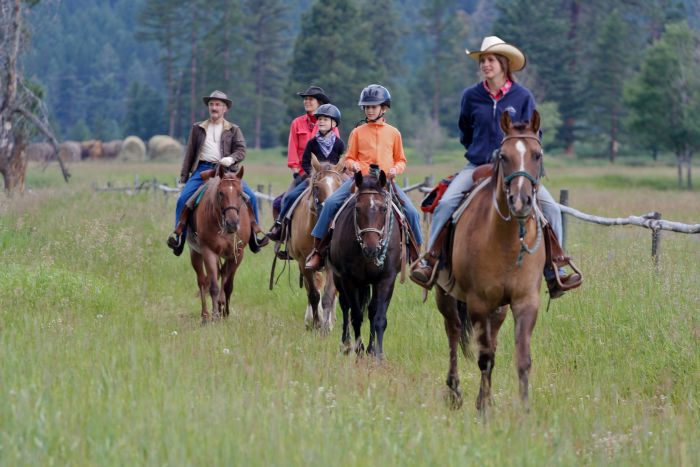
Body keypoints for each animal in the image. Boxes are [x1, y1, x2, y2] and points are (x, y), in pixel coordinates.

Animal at [187, 159, 250, 324]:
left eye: (240, 194)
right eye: (221, 193)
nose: (232, 223)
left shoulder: (237, 254)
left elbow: (228, 286)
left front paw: (225, 312)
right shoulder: (209, 252)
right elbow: (213, 286)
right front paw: (215, 315)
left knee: (221, 275)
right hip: (195, 253)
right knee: (202, 281)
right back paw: (205, 316)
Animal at [288, 155, 348, 330]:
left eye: (340, 185)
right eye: (317, 187)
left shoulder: (332, 265)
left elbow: (329, 294)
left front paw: (326, 326)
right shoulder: (304, 262)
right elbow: (314, 294)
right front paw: (316, 323)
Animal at [330, 168, 404, 358]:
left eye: (383, 208)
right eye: (357, 208)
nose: (371, 249)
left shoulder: (386, 279)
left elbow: (378, 317)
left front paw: (377, 353)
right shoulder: (349, 280)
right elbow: (356, 315)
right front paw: (359, 350)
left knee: (370, 310)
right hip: (338, 278)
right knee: (345, 306)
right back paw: (346, 345)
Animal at [438, 110, 548, 414]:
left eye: (537, 154)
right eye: (504, 156)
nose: (520, 201)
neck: (507, 240)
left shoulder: (525, 301)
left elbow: (522, 359)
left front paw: (523, 410)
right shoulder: (478, 302)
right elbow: (484, 357)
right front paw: (484, 409)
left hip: (498, 308)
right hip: (446, 296)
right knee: (453, 332)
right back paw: (454, 392)